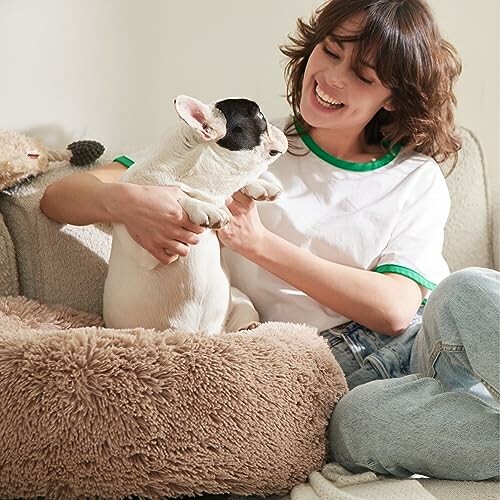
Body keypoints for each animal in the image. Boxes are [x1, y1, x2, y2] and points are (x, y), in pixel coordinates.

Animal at [102, 95, 286, 334]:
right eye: (260, 117)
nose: (277, 125)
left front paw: (260, 186)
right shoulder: (144, 250)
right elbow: (176, 194)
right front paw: (202, 208)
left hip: (239, 299)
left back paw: (247, 327)